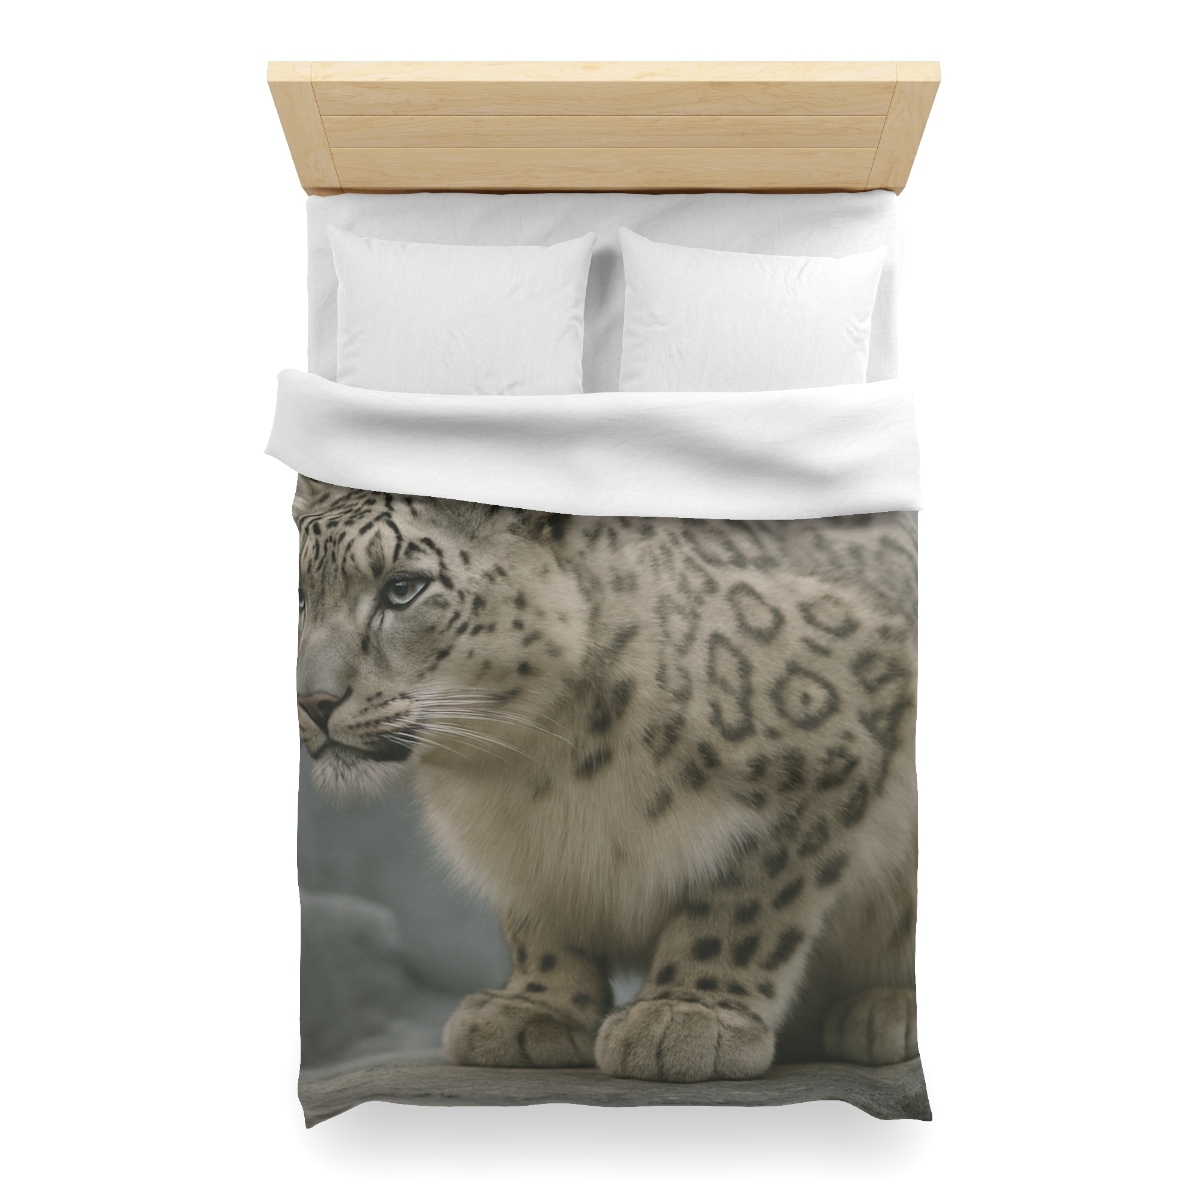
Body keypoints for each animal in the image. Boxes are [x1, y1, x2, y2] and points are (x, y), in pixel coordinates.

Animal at [293, 475, 918, 1083]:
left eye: (403, 587)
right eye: (298, 595)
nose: (312, 702)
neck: (531, 768)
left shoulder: (826, 765)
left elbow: (744, 904)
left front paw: (685, 1016)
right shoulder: (526, 850)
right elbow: (539, 921)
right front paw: (535, 1008)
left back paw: (887, 1012)